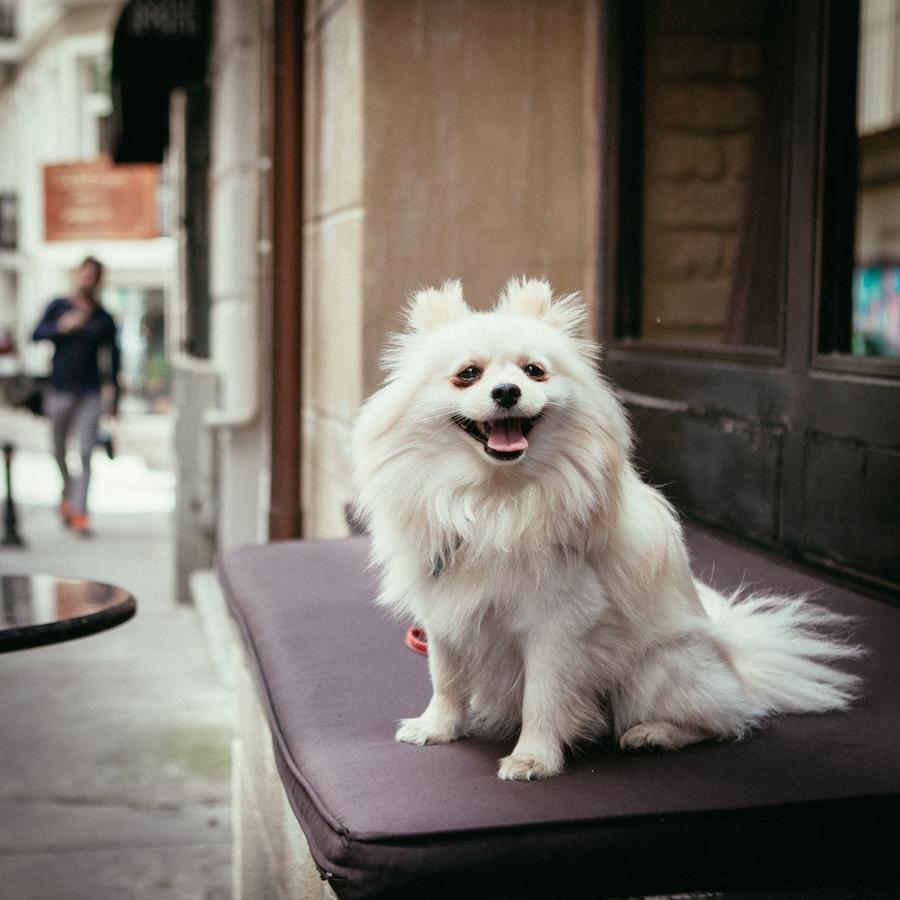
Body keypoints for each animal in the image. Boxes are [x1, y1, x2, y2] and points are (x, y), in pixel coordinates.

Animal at [352, 278, 856, 776]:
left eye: (534, 371)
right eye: (468, 374)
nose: (508, 391)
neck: (496, 498)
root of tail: (735, 667)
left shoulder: (556, 624)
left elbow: (542, 697)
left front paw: (533, 757)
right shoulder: (445, 611)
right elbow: (447, 678)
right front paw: (437, 728)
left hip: (655, 671)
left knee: (721, 721)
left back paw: (655, 734)